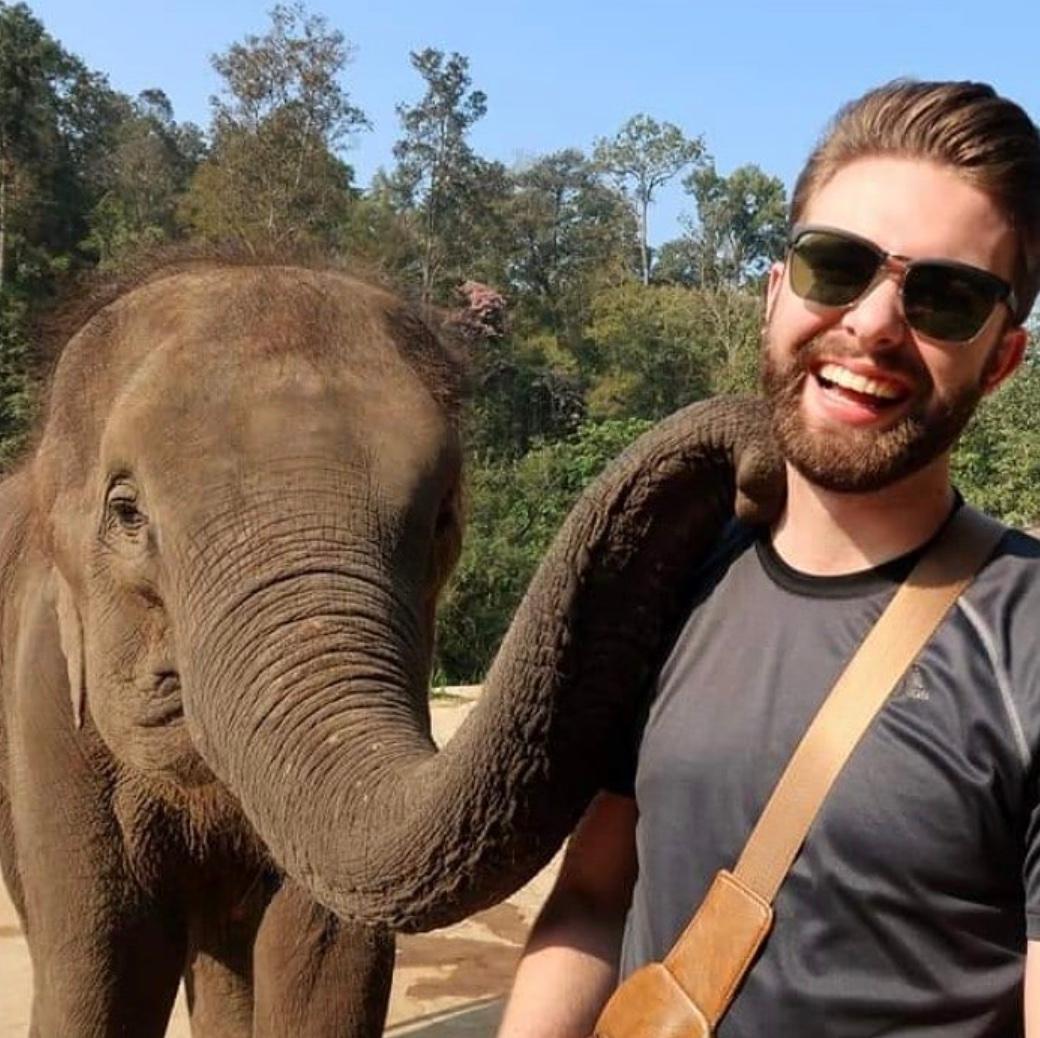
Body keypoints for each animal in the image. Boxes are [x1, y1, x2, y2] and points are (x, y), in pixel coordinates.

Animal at [0, 253, 782, 1038]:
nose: (760, 466)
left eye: (443, 518)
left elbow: (327, 957)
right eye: (126, 512)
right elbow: (101, 975)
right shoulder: (45, 705)